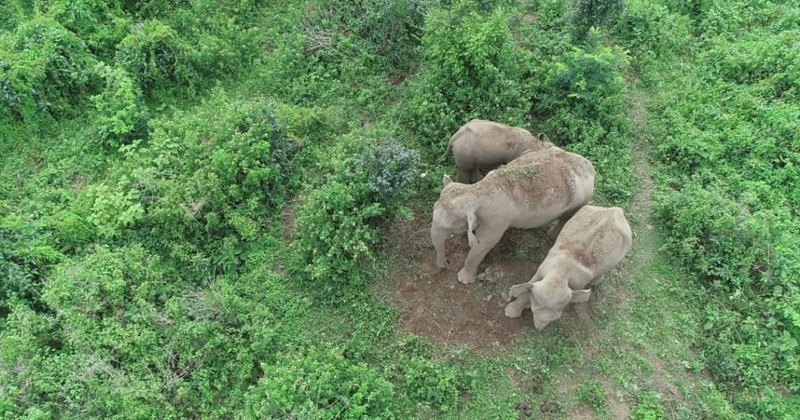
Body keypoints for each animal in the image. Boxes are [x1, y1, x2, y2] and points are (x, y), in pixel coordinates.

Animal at [432, 145, 592, 286]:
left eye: (449, 226)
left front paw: (463, 280)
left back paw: (551, 236)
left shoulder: (497, 220)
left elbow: (483, 243)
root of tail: (589, 165)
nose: (445, 264)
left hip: (580, 201)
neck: (478, 190)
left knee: (566, 218)